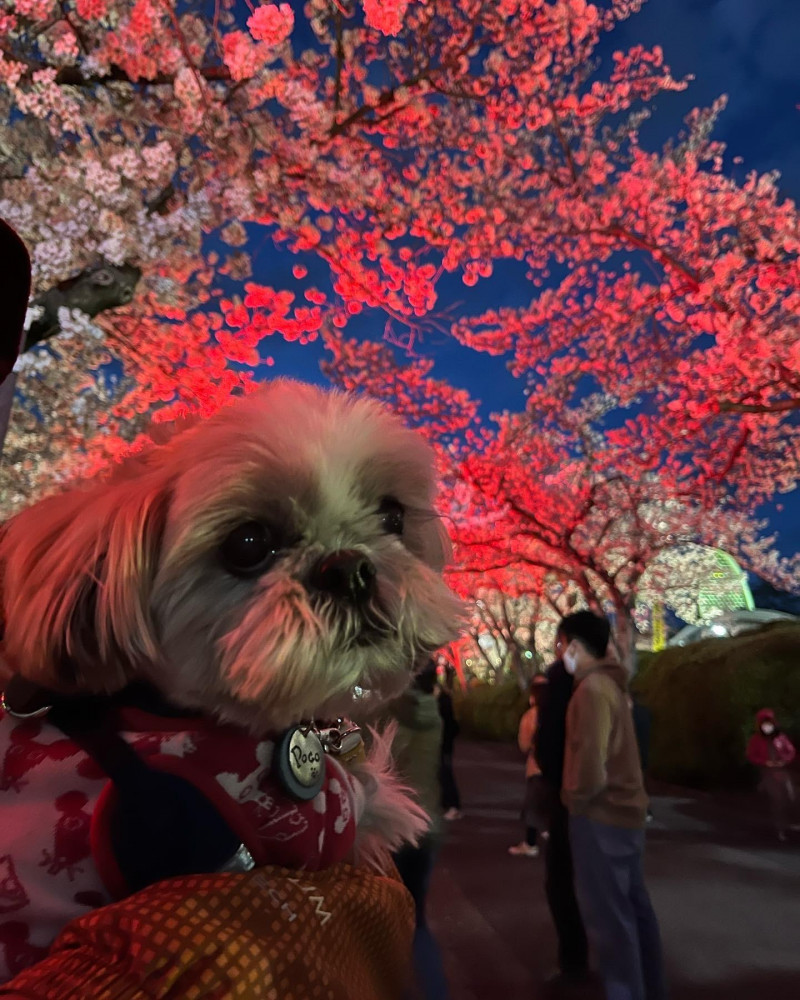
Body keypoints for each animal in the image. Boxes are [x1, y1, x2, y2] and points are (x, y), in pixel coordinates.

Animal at [0, 382, 462, 984]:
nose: (350, 568)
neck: (177, 711)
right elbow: (370, 797)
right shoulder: (309, 821)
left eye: (393, 515)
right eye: (247, 543)